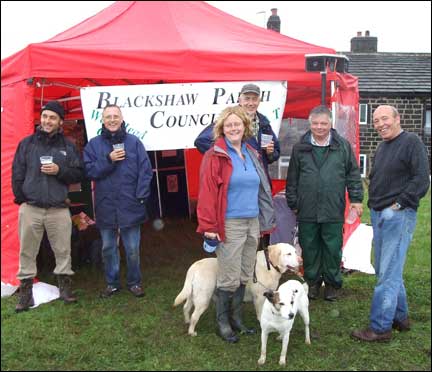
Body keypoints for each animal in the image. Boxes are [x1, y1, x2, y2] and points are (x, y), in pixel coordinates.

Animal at [172, 244, 300, 338]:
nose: (301, 261)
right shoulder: (259, 297)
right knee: (194, 315)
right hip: (203, 298)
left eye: (295, 251)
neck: (270, 265)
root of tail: (195, 266)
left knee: (186, 307)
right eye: (288, 253)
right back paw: (191, 331)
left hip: (193, 294)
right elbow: (260, 314)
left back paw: (187, 321)